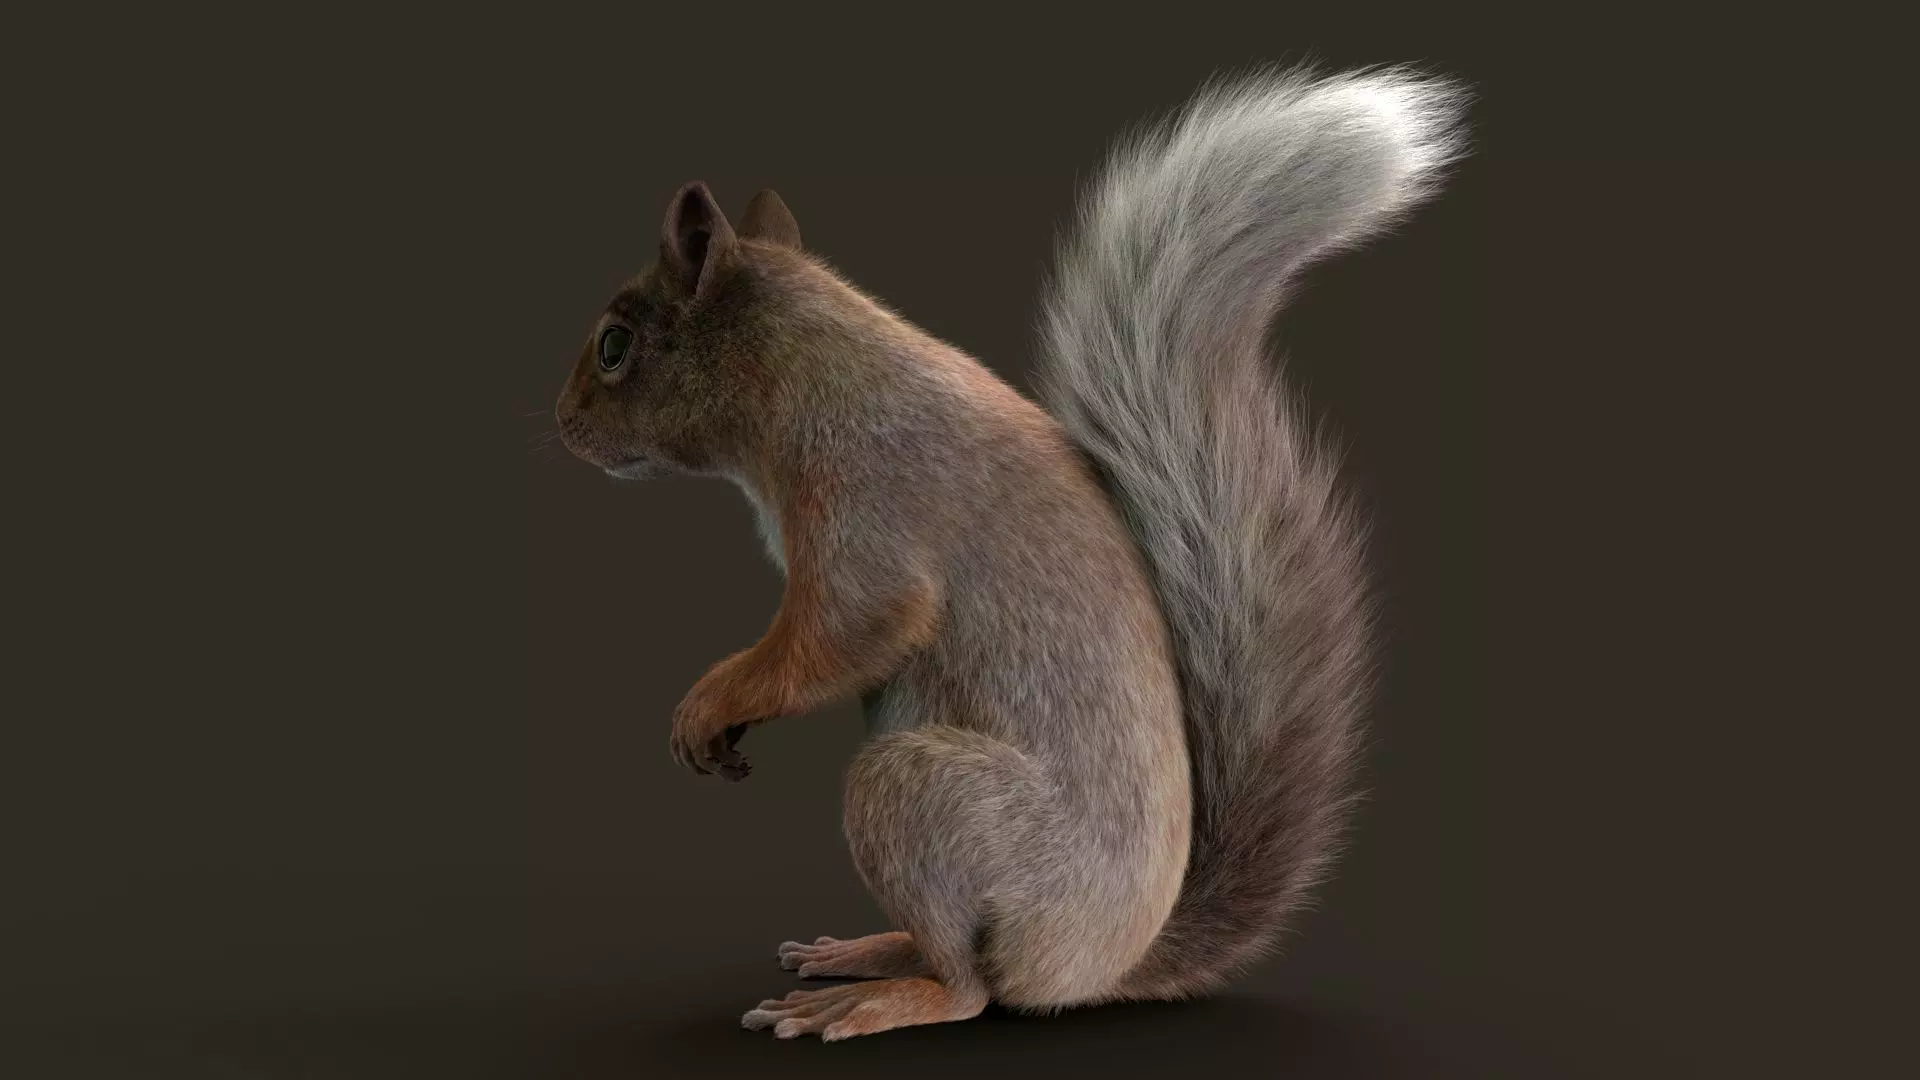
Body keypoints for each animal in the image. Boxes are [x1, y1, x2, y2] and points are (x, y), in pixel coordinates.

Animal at [553, 66, 1467, 1041]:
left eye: (614, 346)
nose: (562, 424)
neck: (811, 370)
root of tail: (1095, 965)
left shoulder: (868, 503)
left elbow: (846, 629)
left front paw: (710, 700)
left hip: (931, 801)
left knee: (970, 987)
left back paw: (884, 996)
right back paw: (867, 951)